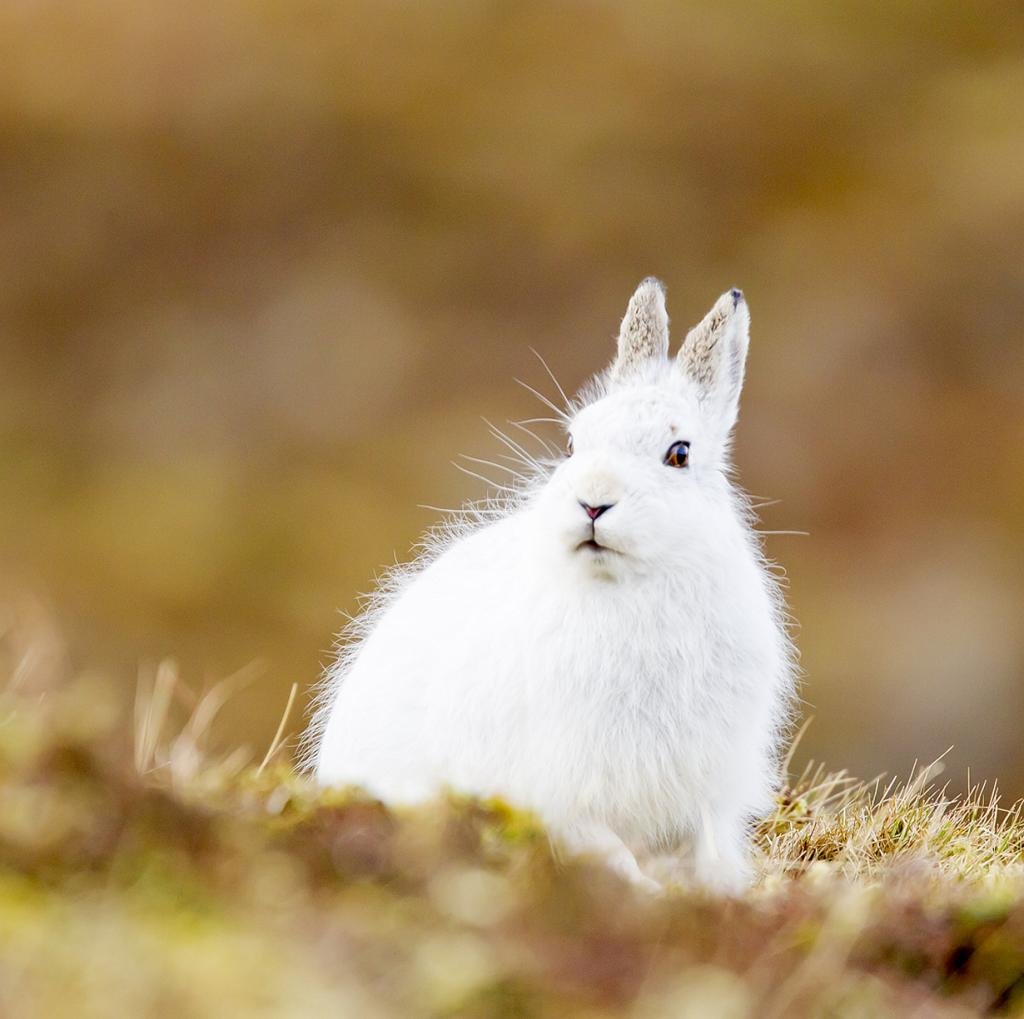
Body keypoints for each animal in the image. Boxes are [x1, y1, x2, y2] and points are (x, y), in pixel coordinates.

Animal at [305, 278, 796, 893]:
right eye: (570, 445)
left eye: (679, 454)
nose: (593, 502)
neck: (625, 586)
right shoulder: (563, 789)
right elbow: (606, 848)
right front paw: (645, 893)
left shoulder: (706, 786)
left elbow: (704, 846)